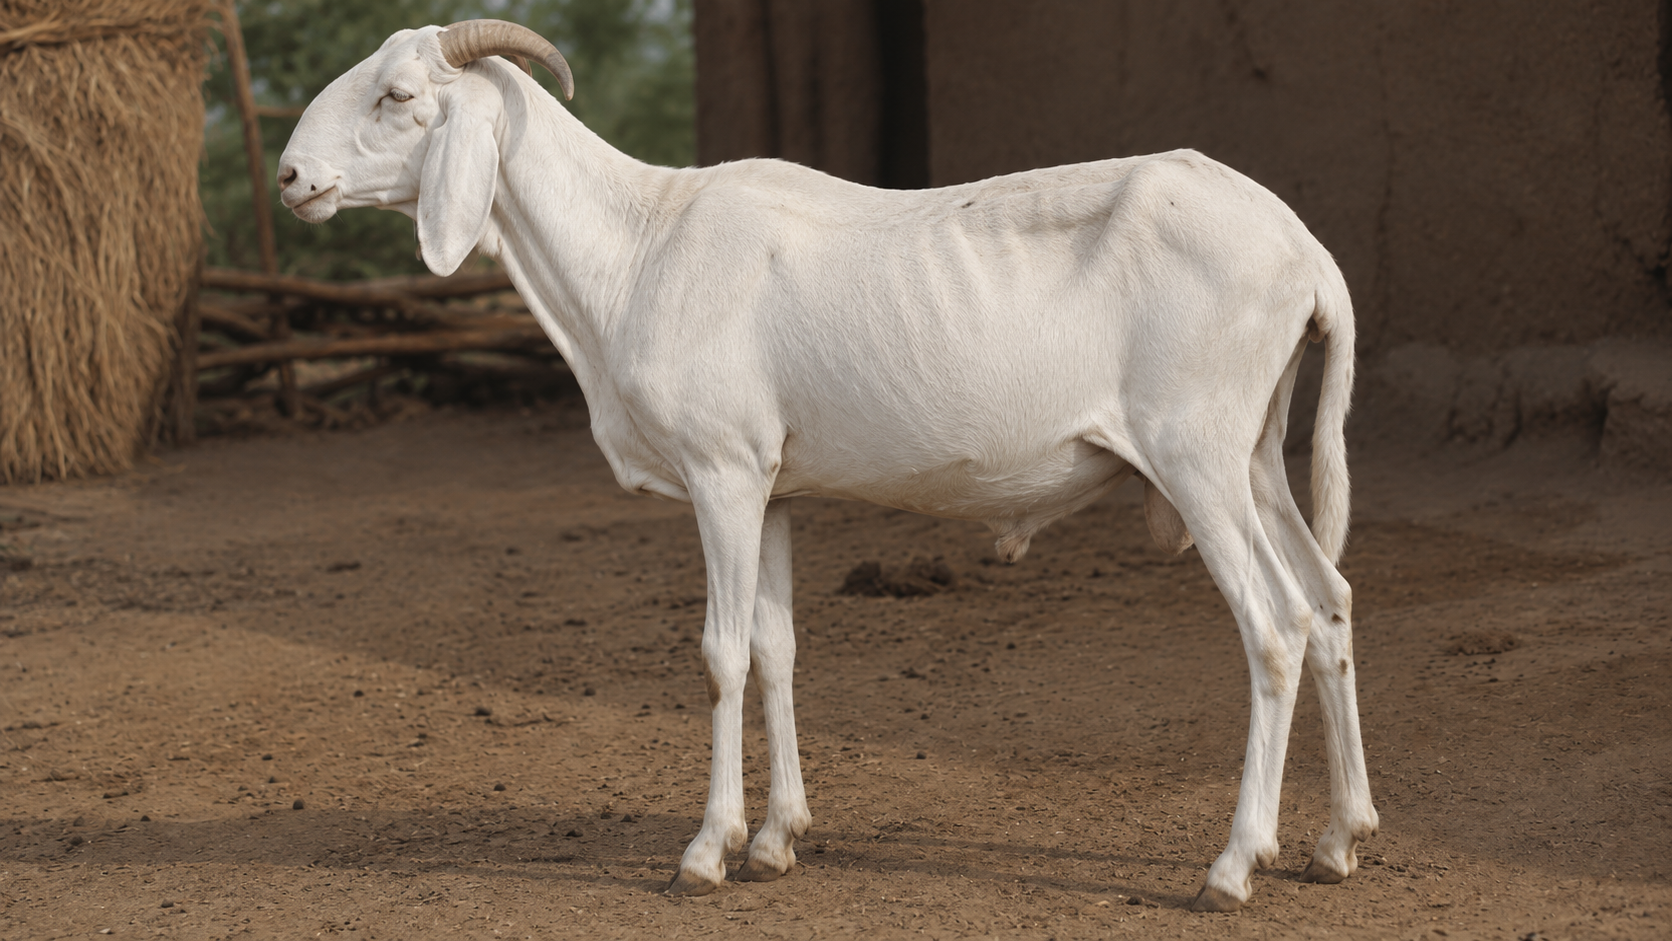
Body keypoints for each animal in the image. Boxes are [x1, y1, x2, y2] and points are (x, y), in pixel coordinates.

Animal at [276, 19, 1378, 911]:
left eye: (397, 95)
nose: (290, 178)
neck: (638, 248)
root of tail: (1307, 254)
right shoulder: (770, 489)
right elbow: (777, 648)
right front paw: (775, 839)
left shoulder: (721, 472)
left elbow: (720, 654)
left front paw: (705, 852)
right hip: (1253, 454)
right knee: (1328, 603)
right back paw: (1337, 840)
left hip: (1197, 453)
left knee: (1275, 629)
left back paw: (1233, 865)